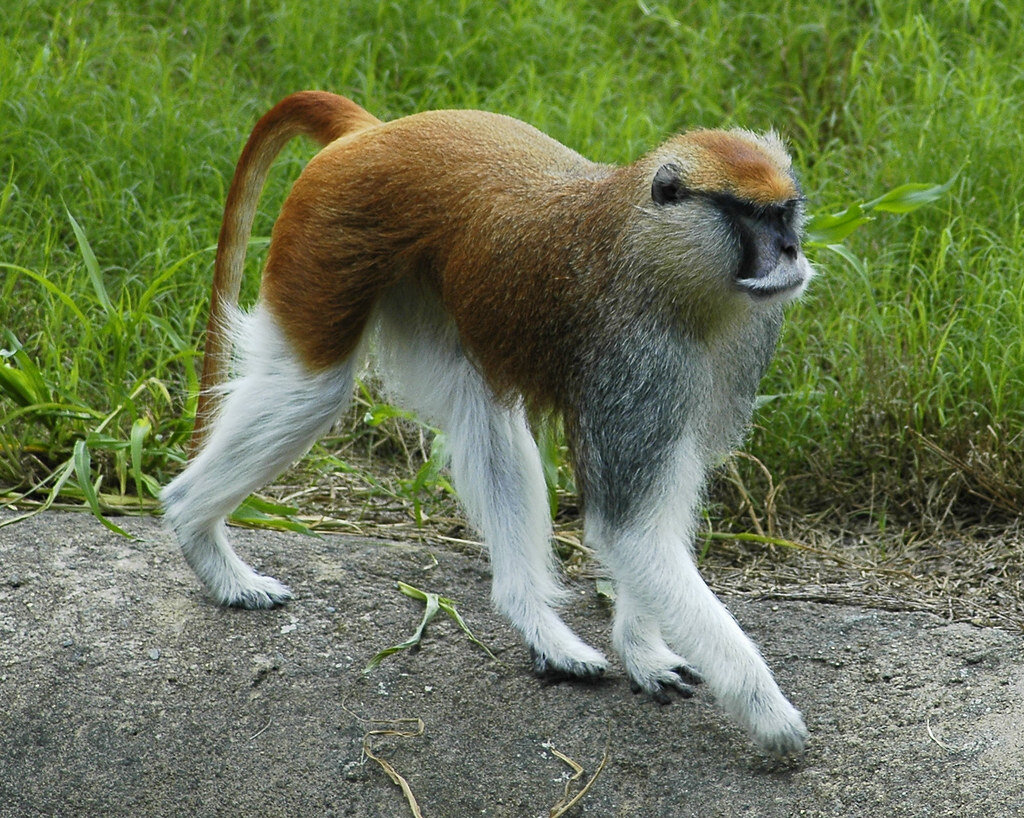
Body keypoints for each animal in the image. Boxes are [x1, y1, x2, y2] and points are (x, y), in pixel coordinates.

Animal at [159, 89, 815, 753]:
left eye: (785, 215)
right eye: (753, 218)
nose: (791, 252)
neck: (656, 252)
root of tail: (371, 132)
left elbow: (659, 501)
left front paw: (643, 650)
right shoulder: (635, 358)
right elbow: (628, 530)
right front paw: (770, 714)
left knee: (482, 412)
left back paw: (539, 628)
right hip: (328, 241)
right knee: (311, 393)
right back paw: (202, 537)